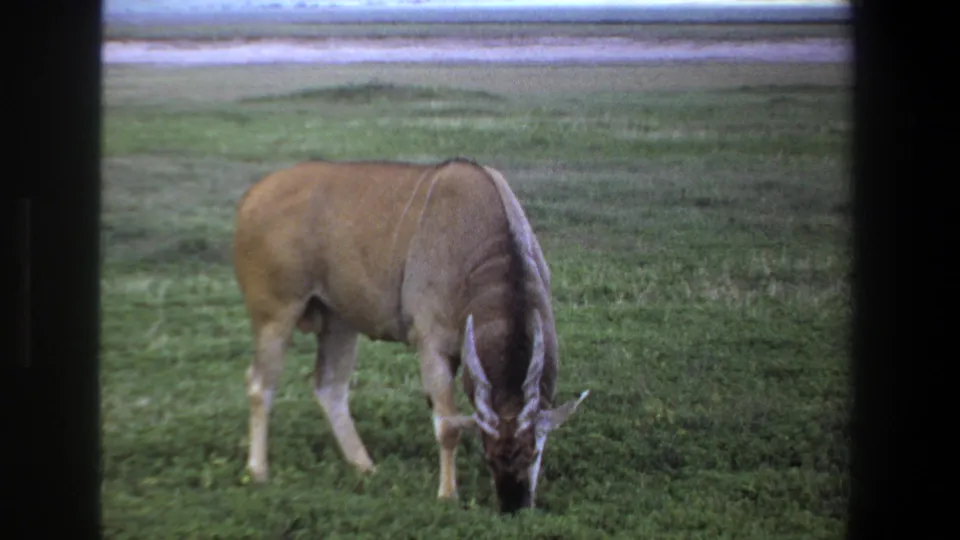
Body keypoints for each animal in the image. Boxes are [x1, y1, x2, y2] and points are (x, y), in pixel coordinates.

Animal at [232, 157, 589, 513]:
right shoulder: (431, 345)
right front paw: (447, 494)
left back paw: (365, 466)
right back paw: (258, 470)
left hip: (339, 322)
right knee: (259, 384)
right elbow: (447, 425)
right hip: (276, 315)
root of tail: (251, 197)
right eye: (488, 455)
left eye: (534, 453)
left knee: (329, 388)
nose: (514, 506)